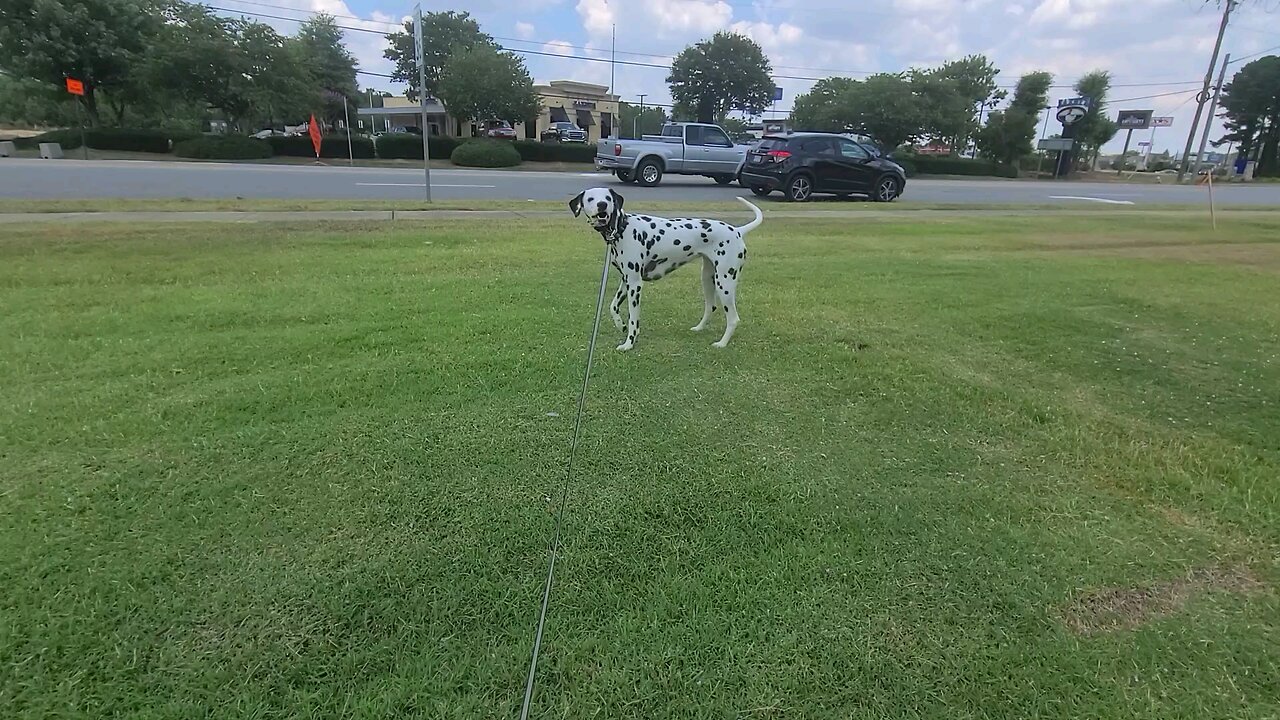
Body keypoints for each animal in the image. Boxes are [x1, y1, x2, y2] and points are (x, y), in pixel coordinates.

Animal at [570, 188, 757, 351]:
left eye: (608, 198)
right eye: (590, 199)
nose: (602, 204)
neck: (623, 228)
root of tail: (737, 231)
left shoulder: (635, 285)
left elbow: (633, 320)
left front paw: (629, 343)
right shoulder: (626, 281)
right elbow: (612, 306)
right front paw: (620, 324)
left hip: (725, 283)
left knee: (733, 318)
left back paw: (722, 343)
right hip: (708, 279)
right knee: (711, 306)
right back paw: (699, 328)